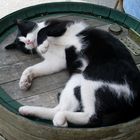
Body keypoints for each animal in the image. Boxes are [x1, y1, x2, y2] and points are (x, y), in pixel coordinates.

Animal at [5, 18, 140, 128]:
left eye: (25, 33)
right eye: (22, 45)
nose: (28, 42)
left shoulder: (62, 25)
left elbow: (42, 30)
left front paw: (43, 45)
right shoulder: (55, 62)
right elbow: (30, 68)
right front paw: (24, 81)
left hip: (92, 75)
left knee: (94, 117)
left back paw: (60, 118)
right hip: (76, 82)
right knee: (61, 110)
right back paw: (29, 110)